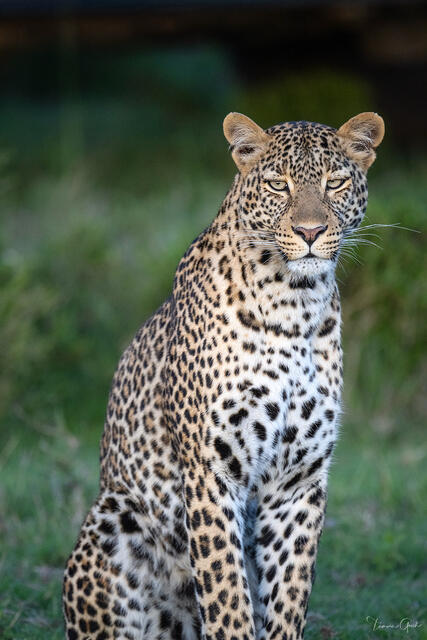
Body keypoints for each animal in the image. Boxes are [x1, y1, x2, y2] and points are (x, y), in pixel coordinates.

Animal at [63, 110, 384, 640]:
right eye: (278, 184)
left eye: (335, 183)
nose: (311, 231)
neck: (295, 305)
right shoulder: (211, 473)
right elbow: (226, 594)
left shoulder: (298, 482)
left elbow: (287, 597)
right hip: (113, 520)